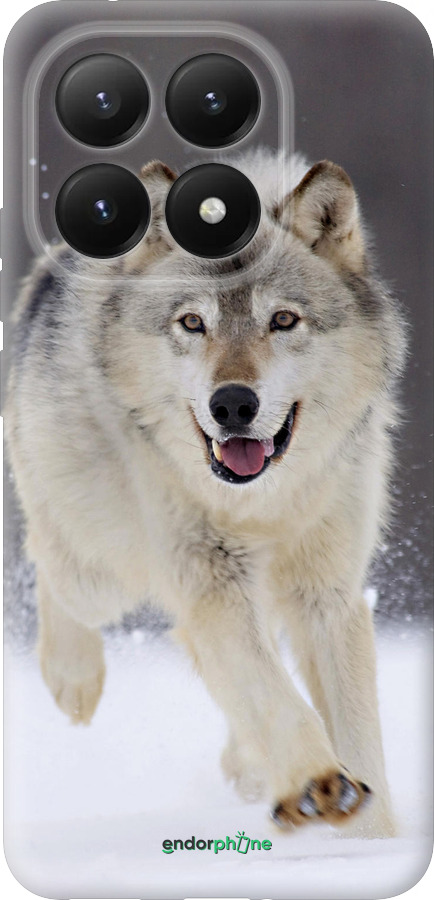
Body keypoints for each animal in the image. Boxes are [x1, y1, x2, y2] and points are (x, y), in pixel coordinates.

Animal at [5, 149, 406, 837]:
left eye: (283, 320)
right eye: (193, 322)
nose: (233, 404)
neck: (263, 503)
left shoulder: (327, 594)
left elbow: (354, 732)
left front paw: (369, 835)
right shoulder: (211, 579)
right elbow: (274, 695)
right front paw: (318, 783)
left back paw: (249, 767)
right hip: (101, 571)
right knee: (51, 565)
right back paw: (73, 680)